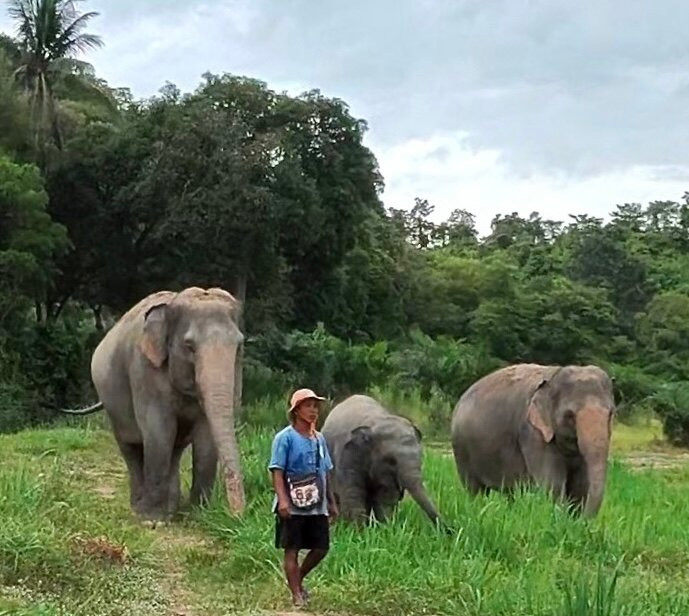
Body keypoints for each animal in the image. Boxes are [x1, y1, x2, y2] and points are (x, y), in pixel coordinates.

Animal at [60, 286, 245, 521]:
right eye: (189, 346)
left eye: (239, 345)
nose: (238, 515)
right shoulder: (144, 370)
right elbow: (159, 431)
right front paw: (152, 520)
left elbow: (204, 437)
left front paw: (197, 514)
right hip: (114, 406)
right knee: (131, 447)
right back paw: (139, 507)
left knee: (174, 450)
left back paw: (171, 509)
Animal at [321, 394, 449, 530]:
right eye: (391, 461)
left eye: (421, 458)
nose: (450, 530)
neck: (376, 421)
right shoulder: (346, 456)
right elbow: (354, 494)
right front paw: (359, 531)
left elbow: (385, 498)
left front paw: (384, 528)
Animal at [450, 363, 615, 517]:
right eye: (570, 416)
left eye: (611, 414)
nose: (585, 521)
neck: (554, 375)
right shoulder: (533, 433)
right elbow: (552, 484)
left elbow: (580, 486)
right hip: (462, 449)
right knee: (474, 489)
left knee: (512, 493)